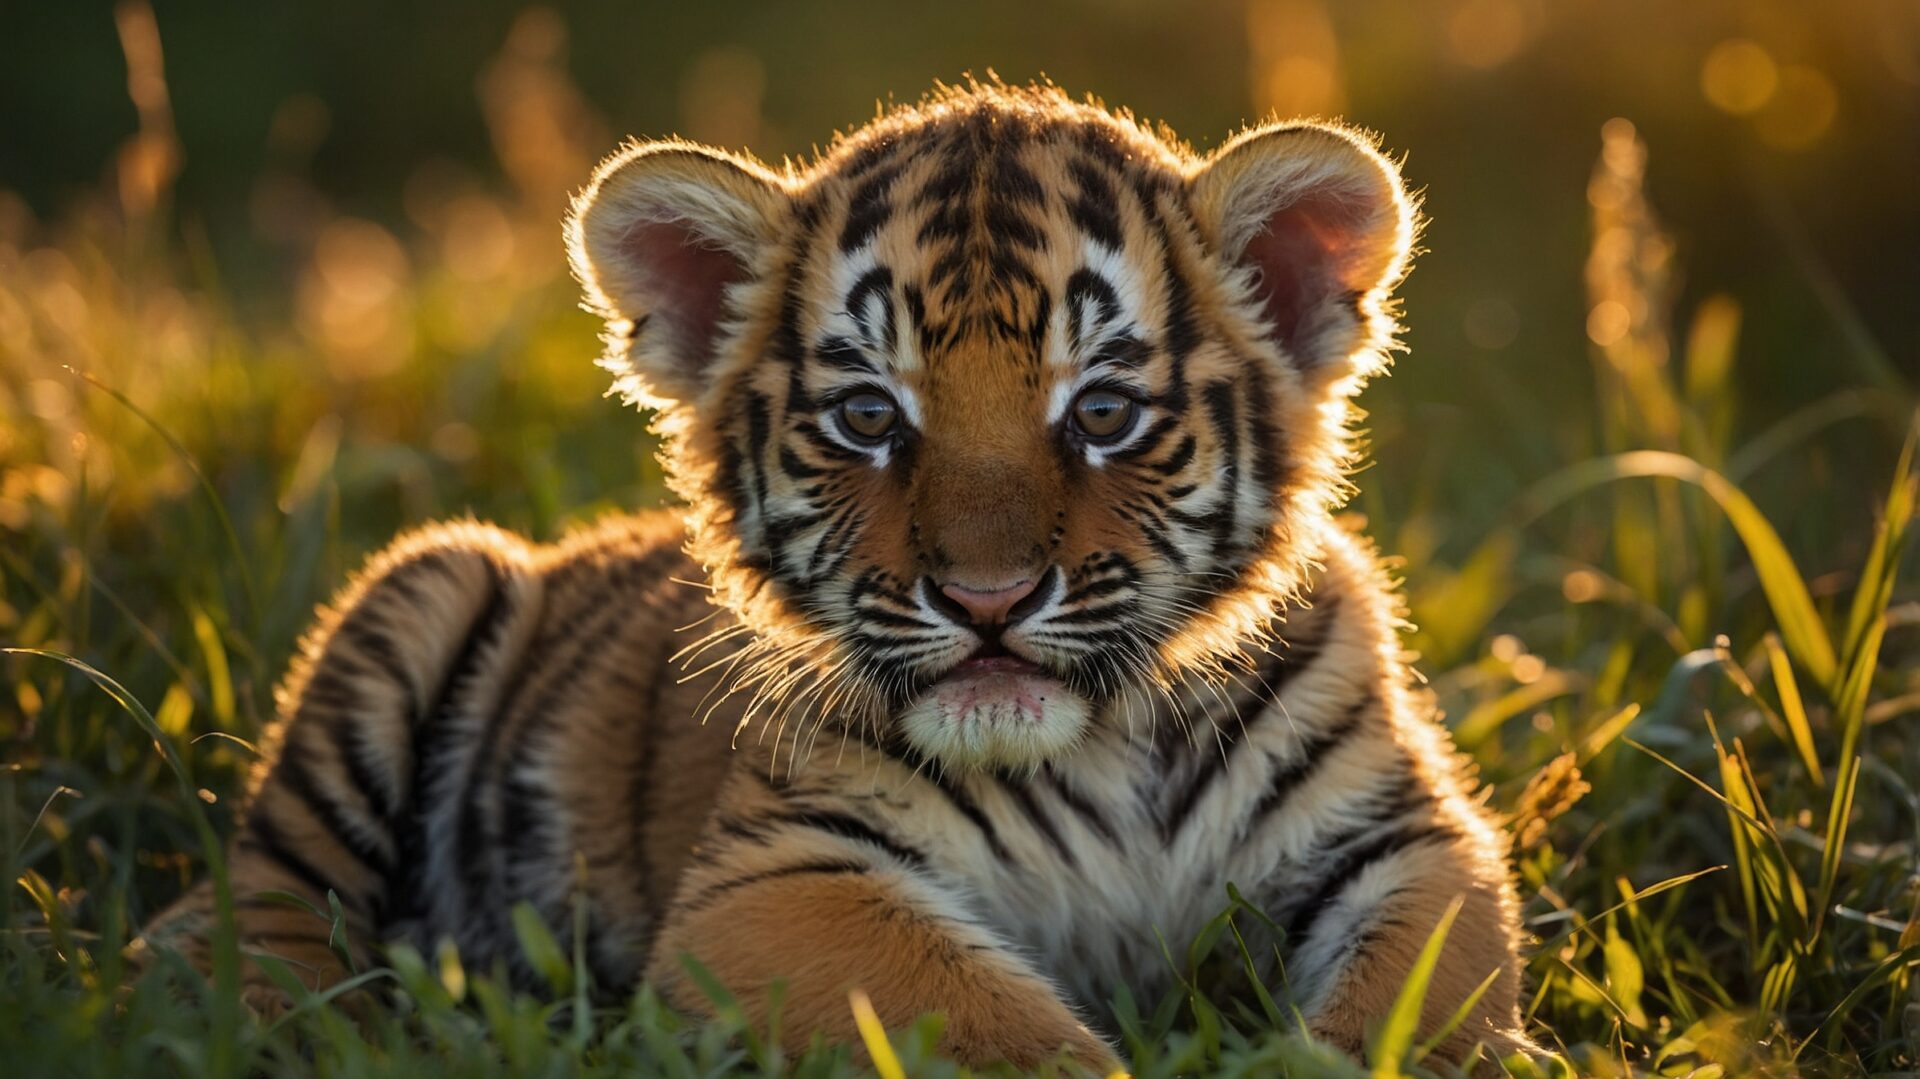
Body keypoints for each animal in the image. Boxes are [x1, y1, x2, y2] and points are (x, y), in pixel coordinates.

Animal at [136, 81, 1538, 1071]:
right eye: (869, 417)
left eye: (1102, 412)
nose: (985, 598)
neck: (1102, 751)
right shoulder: (781, 874)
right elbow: (1007, 1035)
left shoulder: (1403, 838)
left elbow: (1421, 1010)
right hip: (422, 585)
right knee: (251, 905)